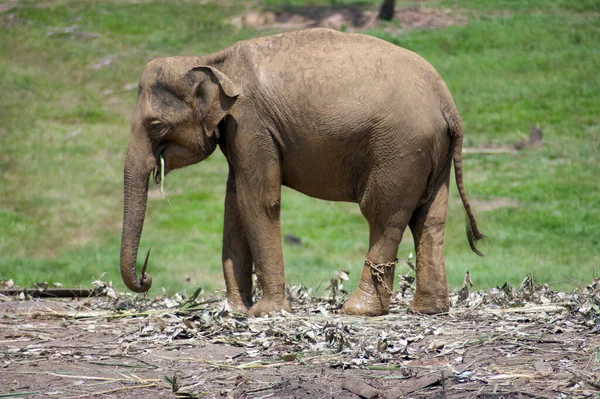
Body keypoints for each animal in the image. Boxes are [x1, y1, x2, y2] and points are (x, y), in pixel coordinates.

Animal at [119, 26, 486, 318]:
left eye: (155, 125)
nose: (146, 277)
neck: (212, 61)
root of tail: (447, 105)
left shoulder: (251, 123)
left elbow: (258, 201)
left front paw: (265, 312)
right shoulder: (239, 133)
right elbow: (234, 204)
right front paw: (236, 310)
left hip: (400, 150)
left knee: (383, 214)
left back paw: (357, 310)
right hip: (432, 153)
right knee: (429, 218)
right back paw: (428, 309)